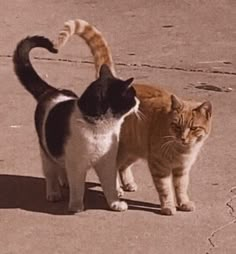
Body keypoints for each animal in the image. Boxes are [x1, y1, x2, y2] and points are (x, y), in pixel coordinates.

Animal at [12, 34, 139, 212]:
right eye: (132, 96)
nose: (138, 101)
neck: (100, 129)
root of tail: (51, 91)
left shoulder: (107, 163)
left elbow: (110, 187)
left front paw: (114, 203)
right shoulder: (77, 165)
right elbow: (78, 187)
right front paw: (76, 206)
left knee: (62, 168)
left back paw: (64, 182)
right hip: (46, 153)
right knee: (51, 174)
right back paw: (54, 193)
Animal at [54, 18, 213, 215]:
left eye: (193, 128)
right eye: (176, 126)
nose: (183, 137)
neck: (181, 150)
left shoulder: (182, 170)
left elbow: (181, 188)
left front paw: (183, 202)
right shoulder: (159, 167)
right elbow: (165, 189)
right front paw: (168, 206)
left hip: (135, 149)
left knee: (123, 166)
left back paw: (127, 183)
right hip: (121, 150)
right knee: (114, 168)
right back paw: (117, 189)